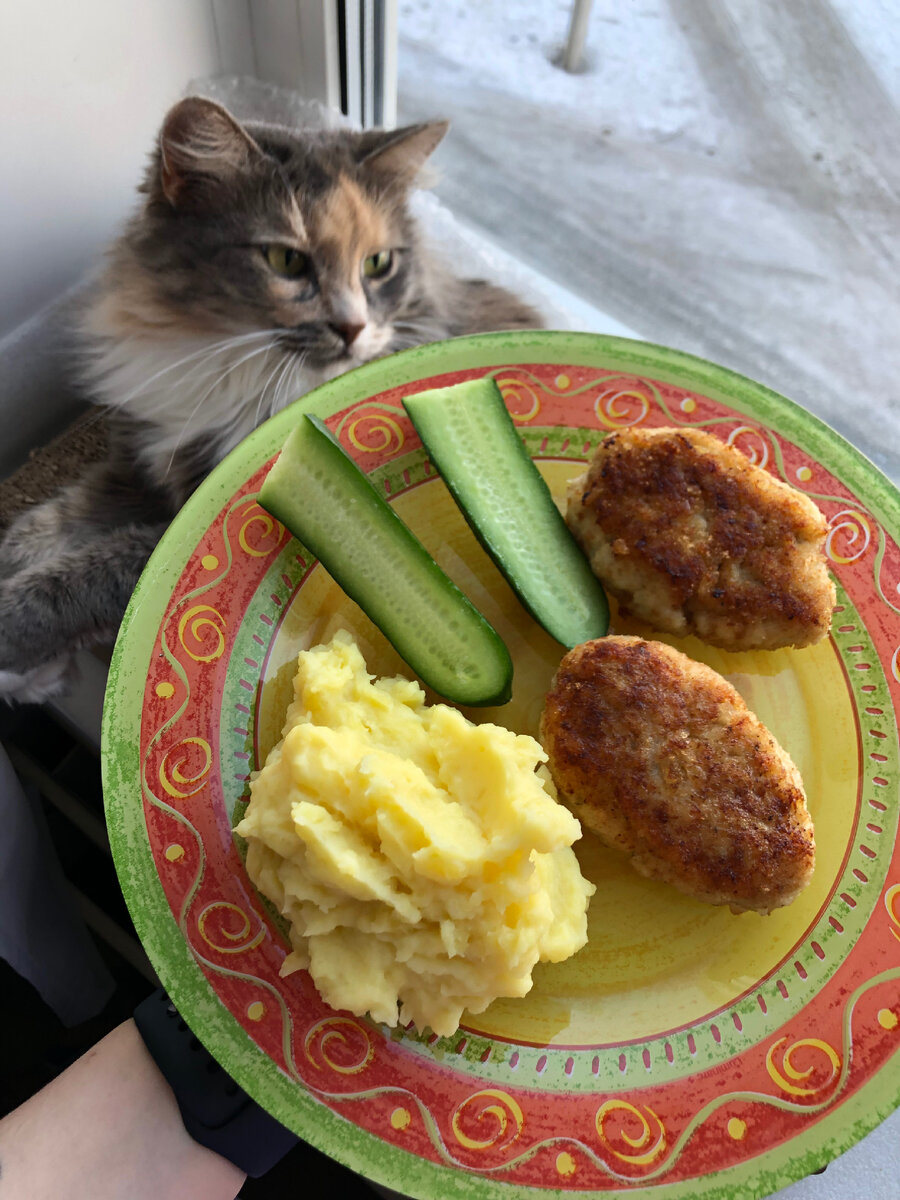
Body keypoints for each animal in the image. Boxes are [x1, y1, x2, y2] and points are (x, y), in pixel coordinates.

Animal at [0, 96, 542, 704]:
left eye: (378, 264)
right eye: (286, 261)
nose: (353, 328)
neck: (233, 366)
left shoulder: (160, 526)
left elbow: (84, 571)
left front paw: (12, 630)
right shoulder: (142, 459)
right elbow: (47, 522)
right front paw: (16, 571)